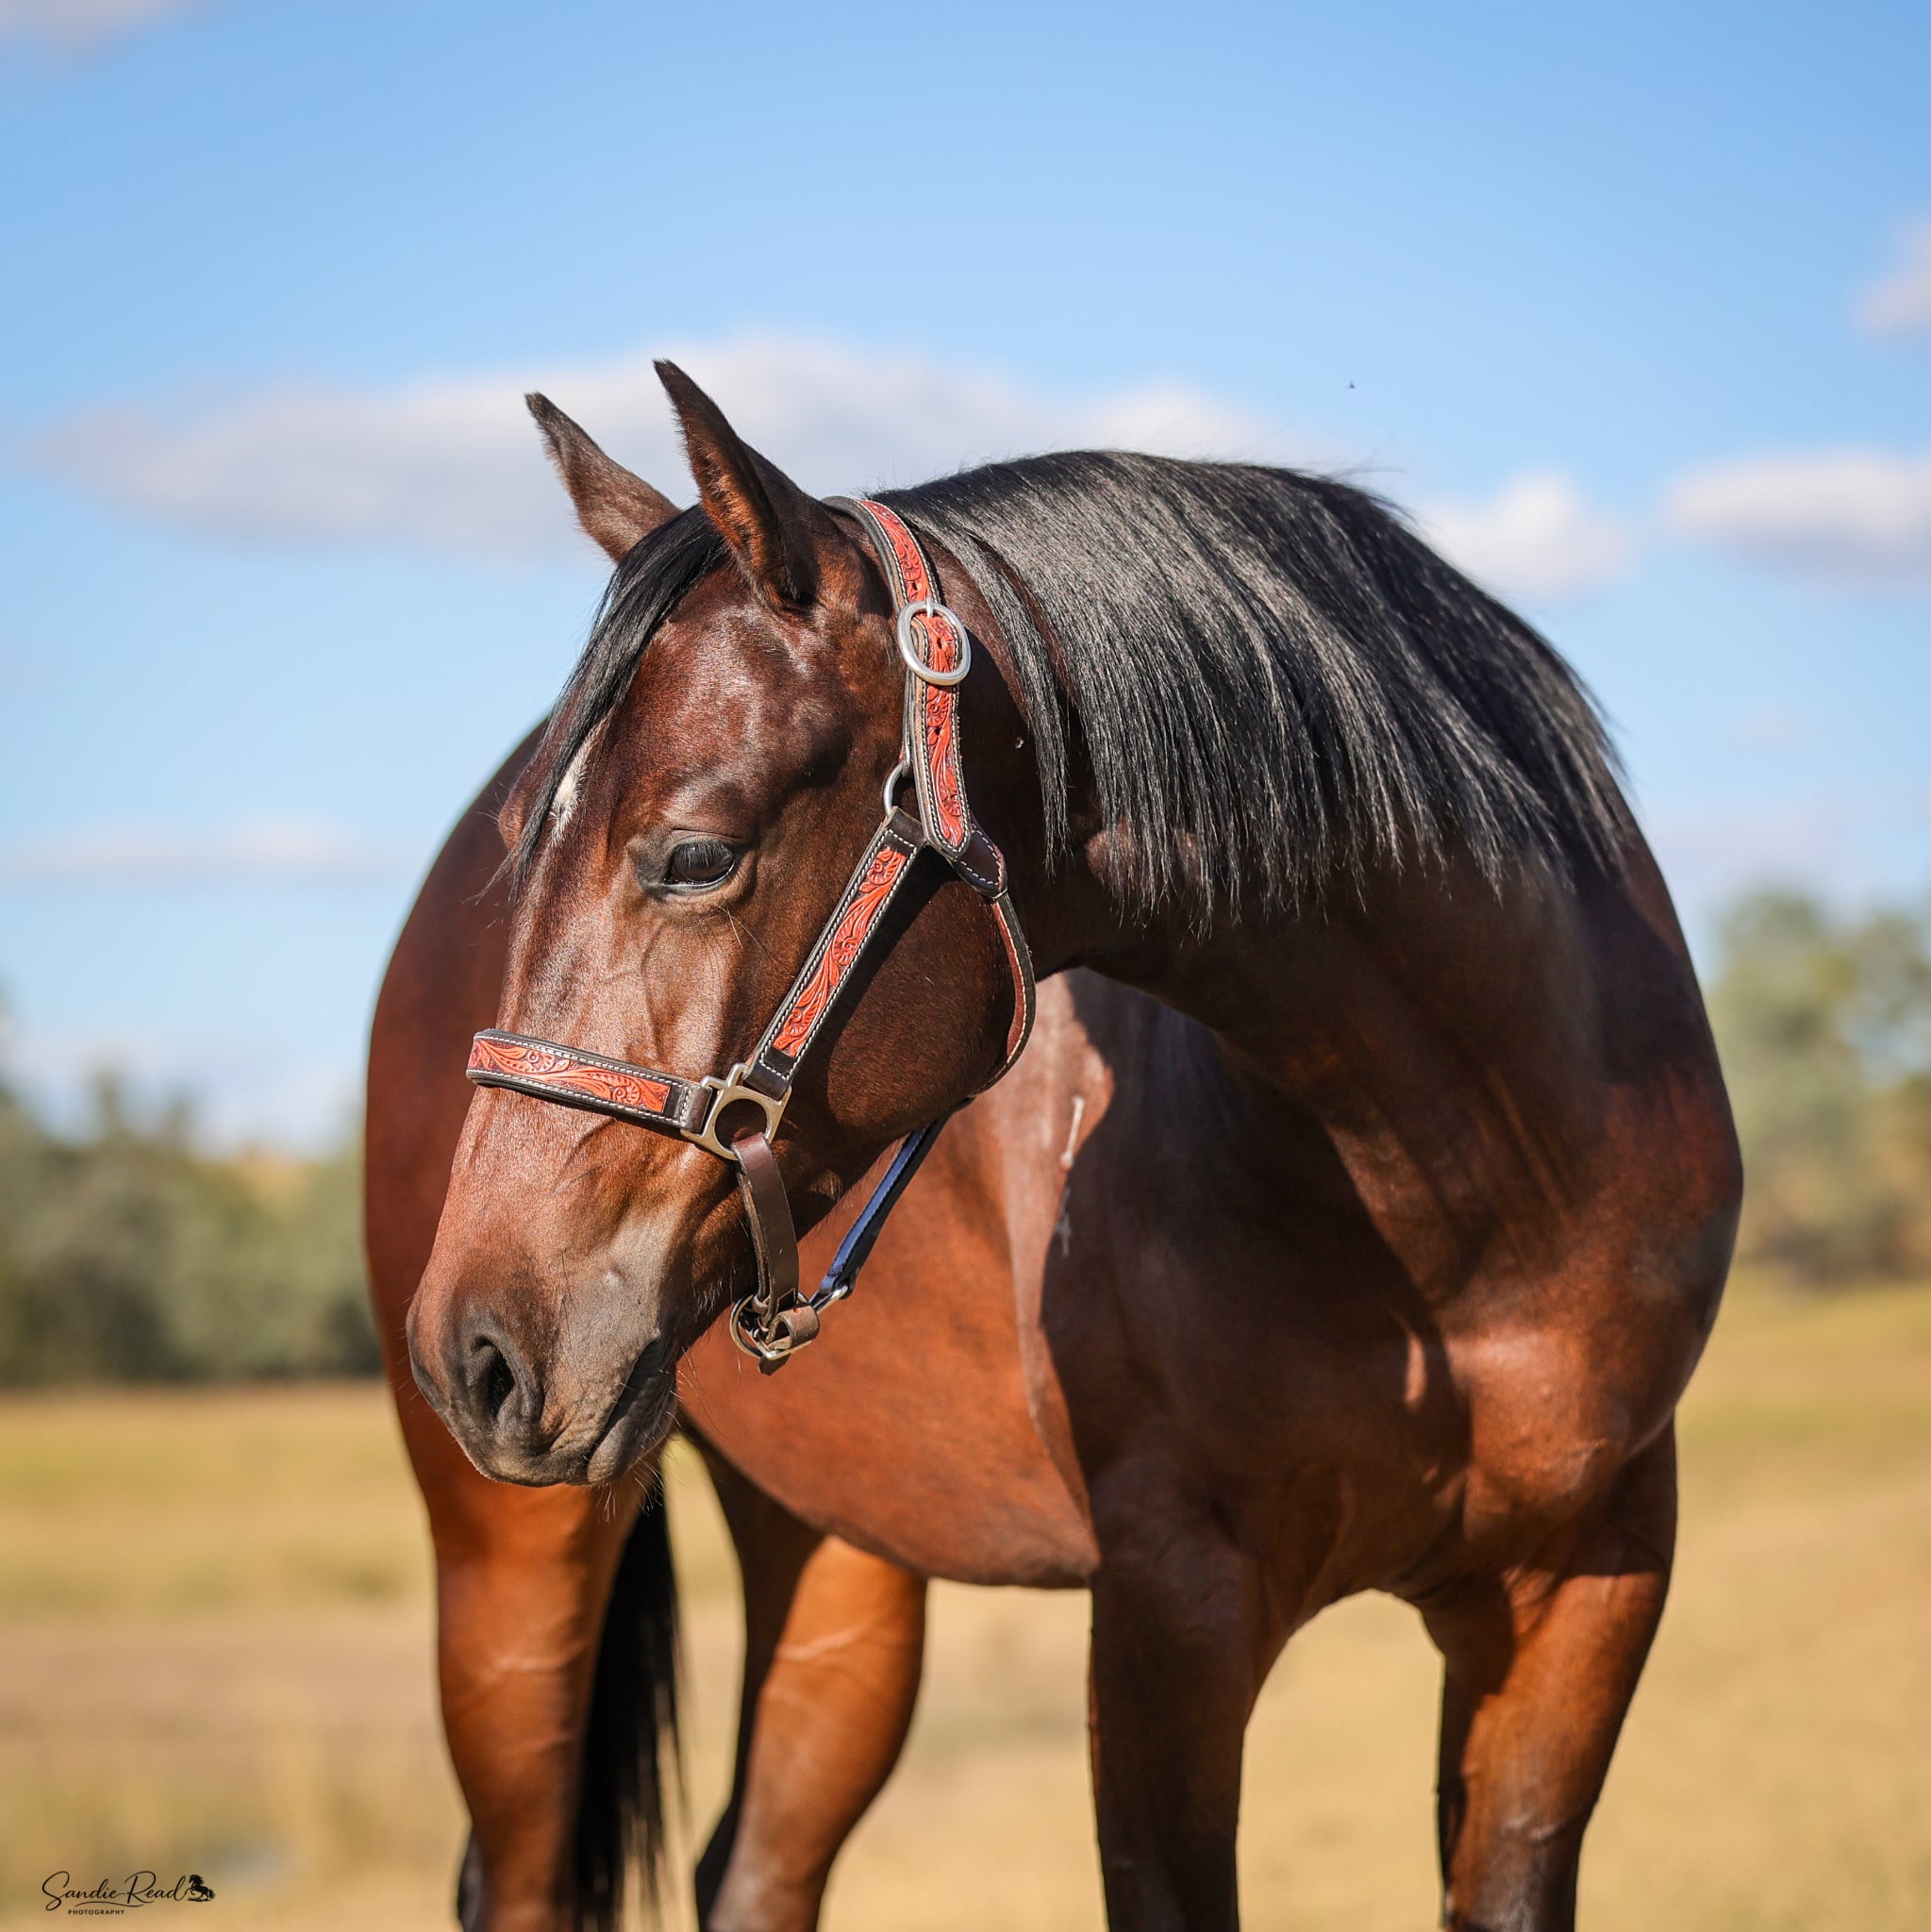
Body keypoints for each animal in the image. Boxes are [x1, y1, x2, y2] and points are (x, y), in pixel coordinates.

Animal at [378, 364, 1740, 1932]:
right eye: (518, 846)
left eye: (696, 852)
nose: (474, 1349)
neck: (1466, 1200)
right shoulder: (1168, 1608)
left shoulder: (1586, 1584)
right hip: (511, 1567)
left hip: (837, 1560)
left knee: (758, 1865)